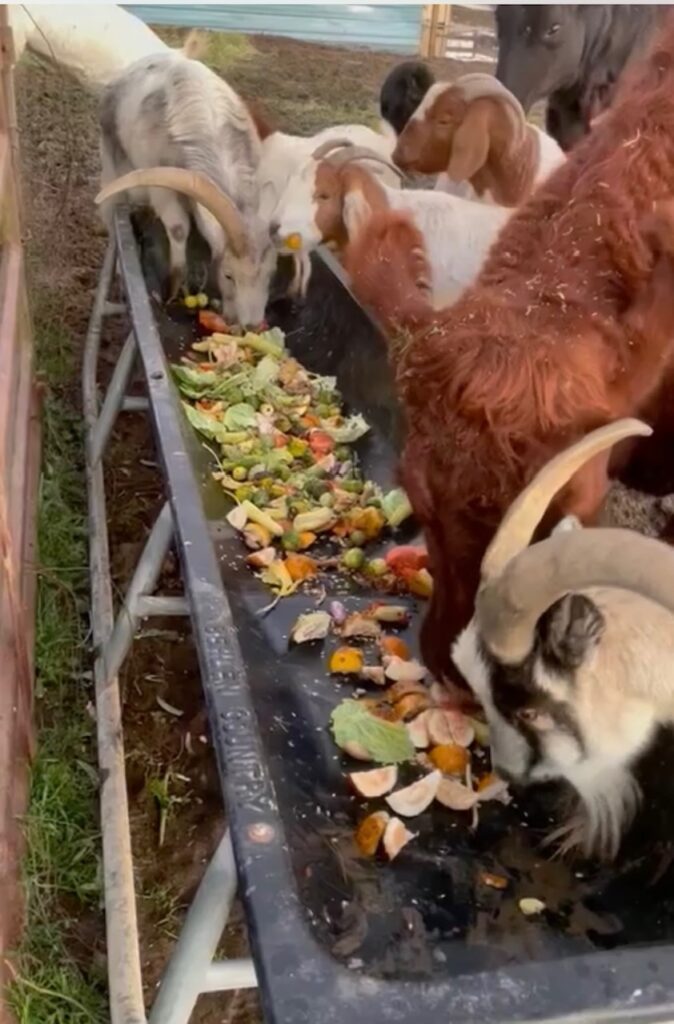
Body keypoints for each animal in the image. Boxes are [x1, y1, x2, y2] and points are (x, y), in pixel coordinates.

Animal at [93, 51, 274, 325]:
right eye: (229, 275)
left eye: (270, 276)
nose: (250, 325)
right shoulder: (161, 185)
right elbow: (179, 229)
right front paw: (173, 286)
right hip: (113, 165)